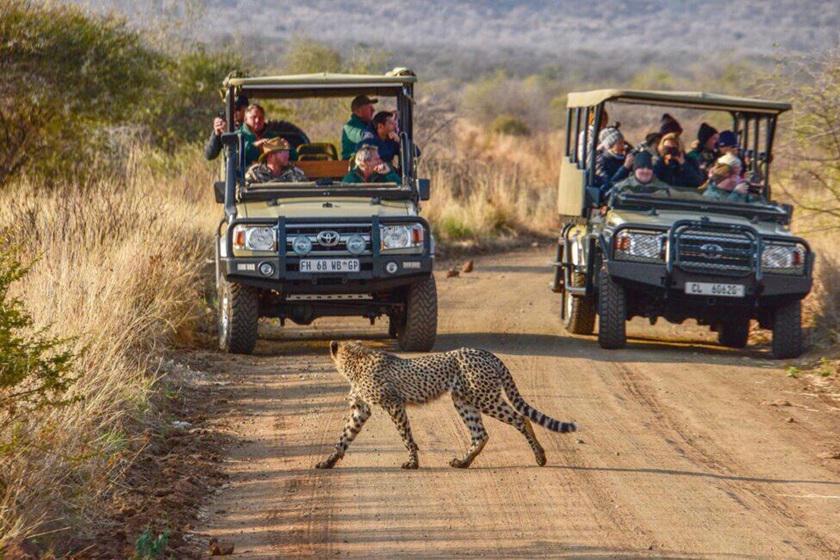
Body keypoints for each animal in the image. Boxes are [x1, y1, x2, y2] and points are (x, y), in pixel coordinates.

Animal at [316, 342, 576, 468]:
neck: (356, 362)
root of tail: (484, 351)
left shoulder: (394, 404)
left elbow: (406, 435)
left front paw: (413, 462)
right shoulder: (361, 409)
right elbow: (344, 437)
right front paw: (328, 461)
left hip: (485, 398)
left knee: (521, 419)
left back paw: (540, 457)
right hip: (463, 401)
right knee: (480, 434)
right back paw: (463, 462)